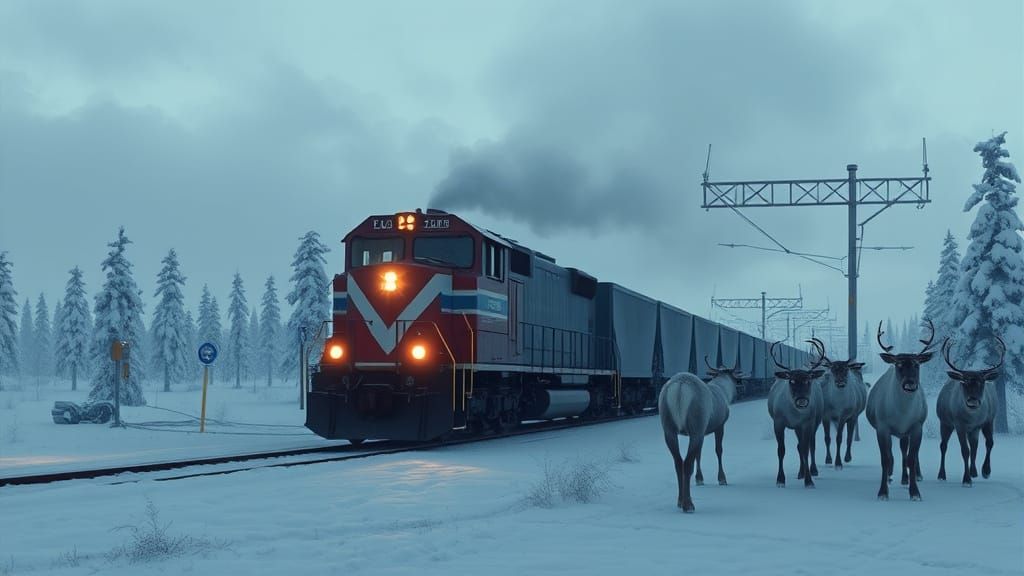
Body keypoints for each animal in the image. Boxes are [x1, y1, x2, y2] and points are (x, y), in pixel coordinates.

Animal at [658, 358, 738, 513]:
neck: (725, 391)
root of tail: (680, 387)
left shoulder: (703, 430)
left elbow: (699, 455)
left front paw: (700, 479)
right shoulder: (719, 425)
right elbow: (718, 450)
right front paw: (722, 479)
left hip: (669, 426)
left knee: (678, 462)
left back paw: (680, 500)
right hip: (696, 422)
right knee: (687, 462)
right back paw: (688, 504)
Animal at [767, 338, 826, 488]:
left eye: (808, 380)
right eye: (791, 381)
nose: (802, 400)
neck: (794, 414)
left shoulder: (807, 423)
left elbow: (806, 449)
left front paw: (809, 481)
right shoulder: (778, 422)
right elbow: (781, 450)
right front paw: (780, 479)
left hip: (815, 422)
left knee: (811, 445)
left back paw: (812, 470)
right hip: (796, 428)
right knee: (799, 446)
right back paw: (800, 473)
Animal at [866, 319, 935, 501]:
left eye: (917, 365)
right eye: (899, 365)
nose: (910, 383)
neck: (902, 414)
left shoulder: (917, 426)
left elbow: (911, 458)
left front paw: (915, 492)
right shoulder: (882, 427)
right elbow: (886, 459)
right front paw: (883, 492)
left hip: (909, 431)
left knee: (907, 453)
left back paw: (912, 476)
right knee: (896, 452)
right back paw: (894, 476)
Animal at [936, 336, 1003, 486]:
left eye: (982, 382)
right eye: (964, 382)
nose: (972, 401)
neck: (972, 417)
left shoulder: (987, 421)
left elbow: (989, 443)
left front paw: (986, 471)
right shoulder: (959, 425)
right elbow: (965, 451)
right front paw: (966, 480)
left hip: (973, 430)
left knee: (974, 446)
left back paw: (974, 471)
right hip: (945, 422)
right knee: (943, 446)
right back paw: (941, 474)